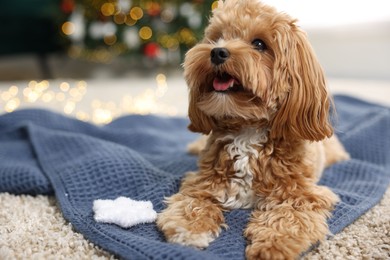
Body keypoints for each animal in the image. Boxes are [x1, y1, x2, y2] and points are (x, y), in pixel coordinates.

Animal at [156, 1, 350, 258]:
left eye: (259, 44)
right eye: (217, 38)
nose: (217, 52)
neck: (247, 130)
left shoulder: (301, 195)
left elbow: (289, 218)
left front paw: (273, 245)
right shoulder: (203, 181)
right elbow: (192, 202)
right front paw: (189, 229)